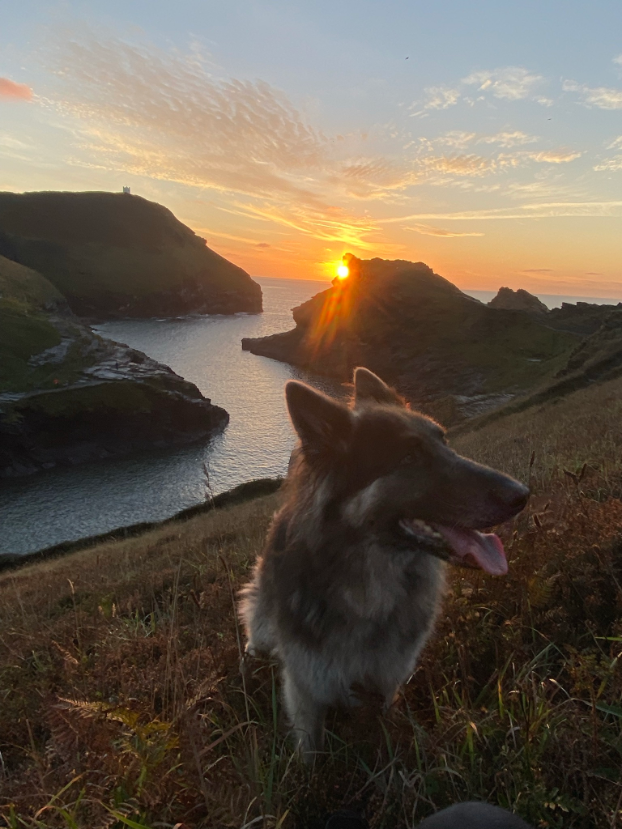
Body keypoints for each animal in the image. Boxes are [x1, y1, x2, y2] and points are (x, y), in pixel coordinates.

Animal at [240, 368, 532, 756]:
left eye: (444, 441)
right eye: (408, 457)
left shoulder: (386, 678)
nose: (522, 495)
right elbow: (309, 750)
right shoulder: (305, 686)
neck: (368, 591)